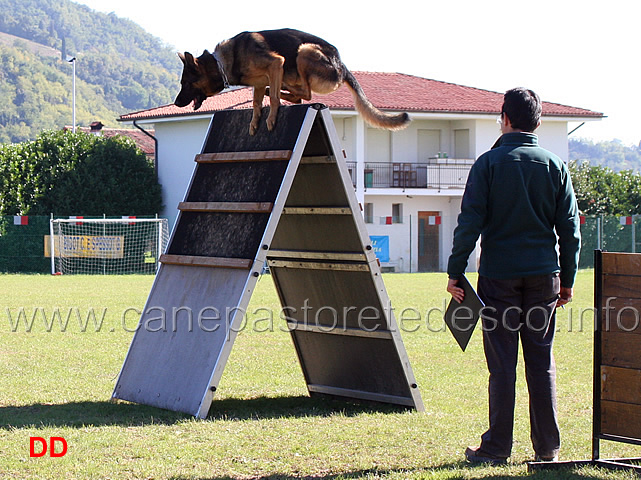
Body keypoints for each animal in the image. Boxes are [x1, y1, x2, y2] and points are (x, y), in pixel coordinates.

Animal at [174, 28, 410, 135]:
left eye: (186, 83)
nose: (176, 103)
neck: (222, 62)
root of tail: (341, 65)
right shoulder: (258, 81)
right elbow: (256, 103)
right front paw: (255, 121)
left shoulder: (276, 63)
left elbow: (274, 99)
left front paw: (271, 118)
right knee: (299, 96)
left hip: (303, 52)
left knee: (305, 94)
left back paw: (282, 89)